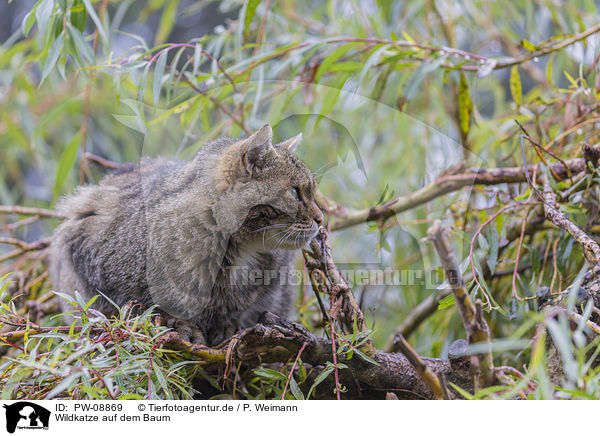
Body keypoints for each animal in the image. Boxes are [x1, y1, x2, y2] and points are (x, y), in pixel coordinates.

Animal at [48, 124, 324, 346]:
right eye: (295, 193)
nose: (321, 219)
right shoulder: (88, 249)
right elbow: (144, 308)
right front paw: (182, 326)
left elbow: (240, 309)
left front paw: (228, 326)